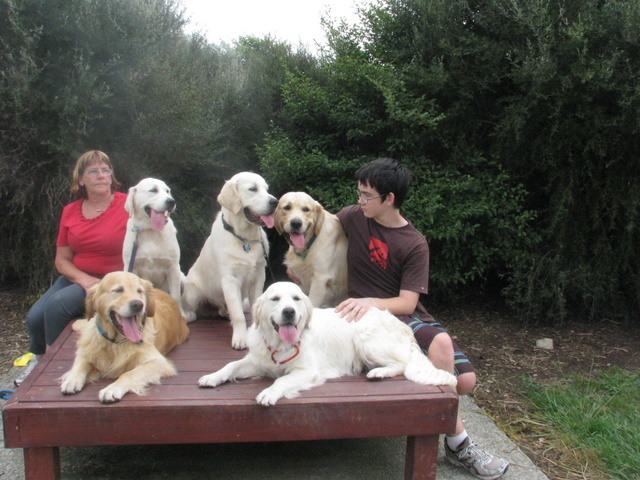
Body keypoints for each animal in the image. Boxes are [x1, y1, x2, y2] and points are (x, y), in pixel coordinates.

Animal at [59, 272, 190, 404]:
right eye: (118, 290)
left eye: (139, 291)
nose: (138, 304)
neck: (116, 342)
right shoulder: (87, 351)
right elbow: (79, 364)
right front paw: (71, 380)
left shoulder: (158, 362)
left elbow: (128, 374)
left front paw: (112, 389)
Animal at [124, 177, 186, 318]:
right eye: (153, 190)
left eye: (167, 191)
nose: (171, 202)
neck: (150, 230)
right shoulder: (131, 265)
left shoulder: (173, 266)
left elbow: (175, 296)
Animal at [181, 172, 278, 348]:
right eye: (253, 189)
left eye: (266, 189)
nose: (275, 201)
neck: (245, 237)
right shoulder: (230, 280)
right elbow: (239, 315)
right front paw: (240, 338)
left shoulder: (259, 276)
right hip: (193, 293)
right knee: (191, 307)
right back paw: (190, 314)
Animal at [199, 282, 456, 404]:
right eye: (275, 299)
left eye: (296, 299)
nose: (290, 312)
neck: (280, 344)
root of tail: (403, 326)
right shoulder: (257, 360)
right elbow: (230, 366)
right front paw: (212, 377)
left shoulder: (308, 371)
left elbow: (282, 380)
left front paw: (269, 393)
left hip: (363, 337)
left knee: (402, 364)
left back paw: (378, 373)